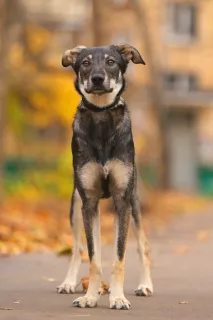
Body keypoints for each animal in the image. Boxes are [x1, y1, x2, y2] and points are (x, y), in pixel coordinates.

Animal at [56, 43, 153, 308]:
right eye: (85, 63)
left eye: (111, 62)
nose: (98, 78)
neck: (100, 116)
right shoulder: (88, 202)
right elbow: (93, 258)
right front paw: (89, 297)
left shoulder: (122, 200)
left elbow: (119, 258)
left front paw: (118, 298)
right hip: (75, 206)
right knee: (79, 248)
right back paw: (72, 283)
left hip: (134, 204)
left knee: (143, 246)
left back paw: (145, 285)